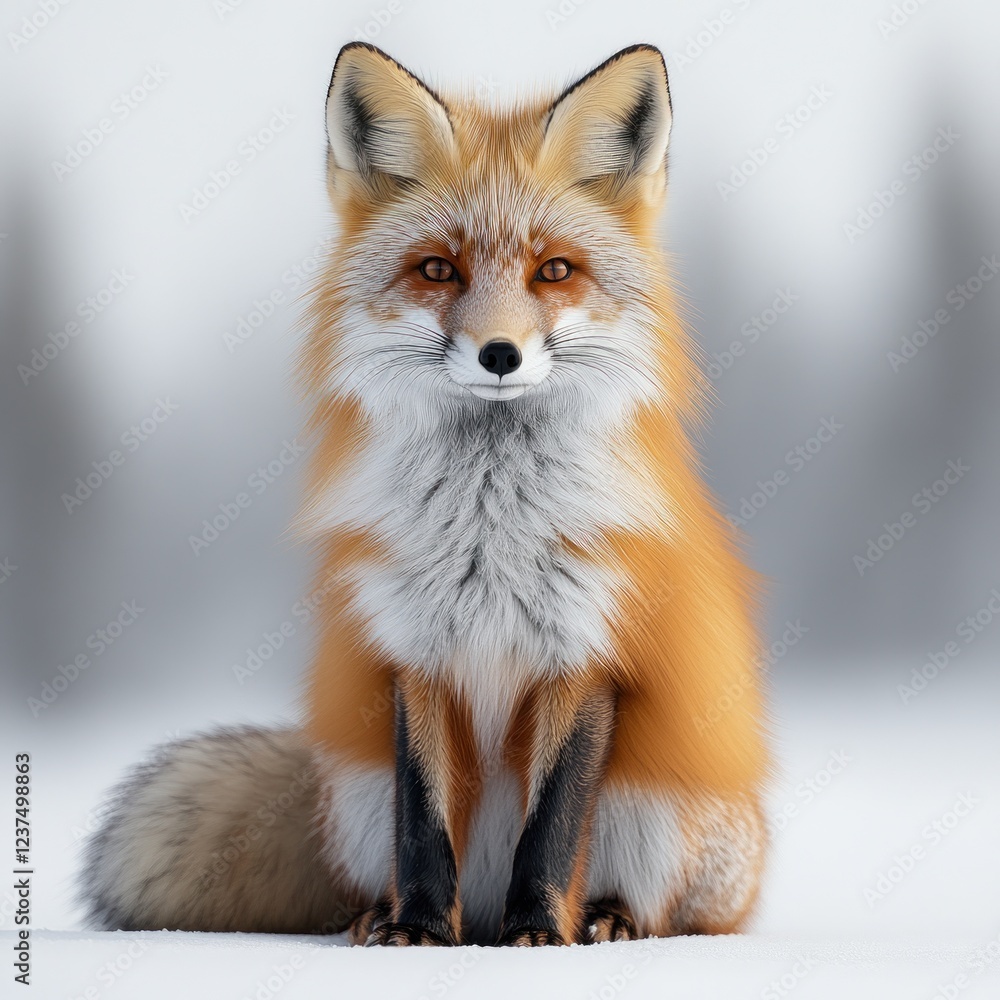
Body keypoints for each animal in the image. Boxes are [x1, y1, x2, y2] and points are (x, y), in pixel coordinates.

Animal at [80, 42, 770, 947]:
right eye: (439, 269)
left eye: (553, 271)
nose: (500, 354)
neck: (488, 535)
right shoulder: (413, 650)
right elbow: (425, 817)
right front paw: (417, 932)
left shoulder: (587, 651)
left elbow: (553, 828)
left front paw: (538, 934)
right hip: (355, 799)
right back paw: (388, 915)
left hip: (663, 817)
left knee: (672, 910)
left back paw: (605, 917)